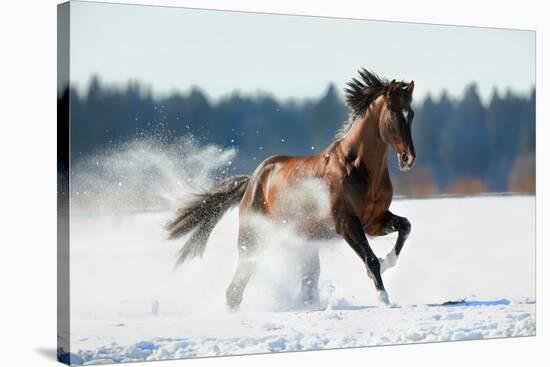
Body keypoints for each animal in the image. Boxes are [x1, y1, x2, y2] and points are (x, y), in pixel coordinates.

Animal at [166, 69, 416, 308]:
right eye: (394, 113)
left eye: (411, 114)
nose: (408, 158)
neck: (356, 167)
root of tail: (253, 180)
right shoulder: (347, 224)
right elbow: (370, 259)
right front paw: (384, 298)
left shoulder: (374, 221)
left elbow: (405, 226)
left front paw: (386, 263)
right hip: (253, 237)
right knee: (238, 285)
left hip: (304, 242)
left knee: (306, 279)